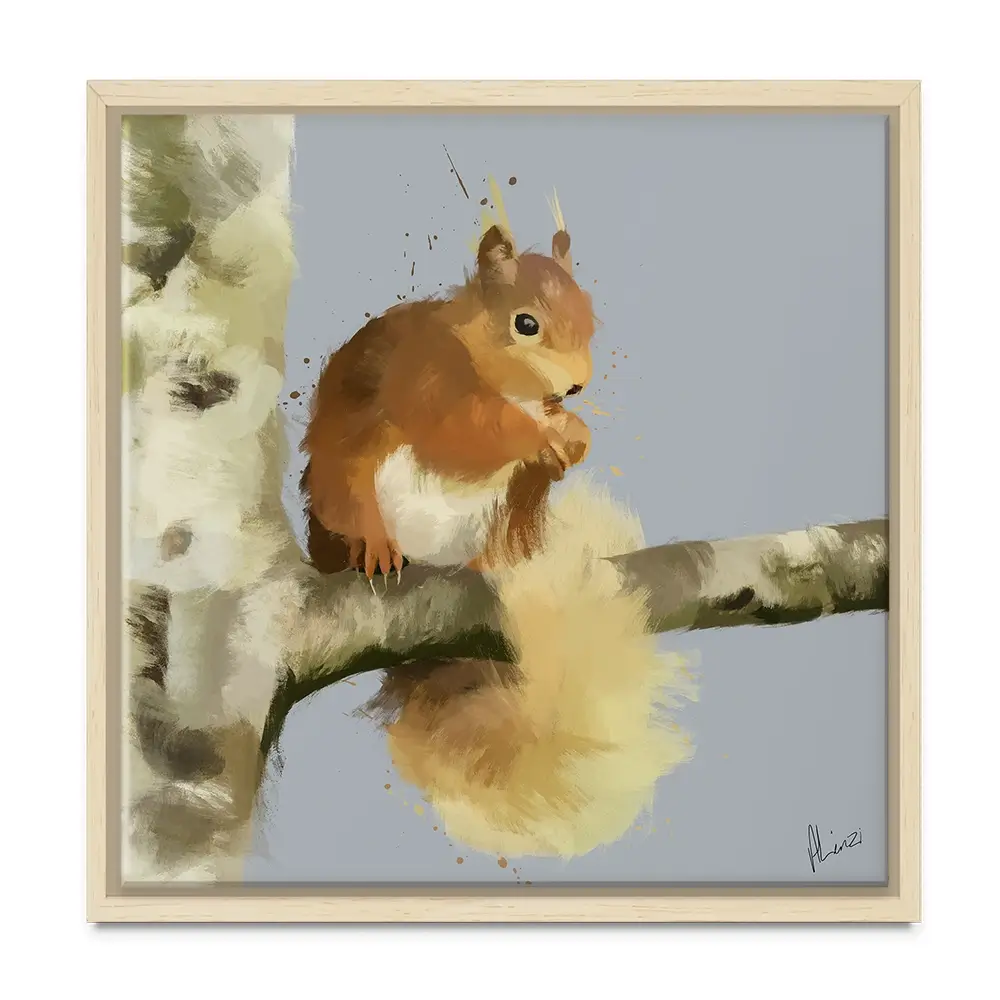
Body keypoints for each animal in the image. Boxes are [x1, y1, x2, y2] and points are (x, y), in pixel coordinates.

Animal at [301, 221, 595, 583]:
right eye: (526, 324)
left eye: (589, 314)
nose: (578, 385)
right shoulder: (427, 383)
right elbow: (462, 433)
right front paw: (540, 438)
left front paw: (577, 436)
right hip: (344, 487)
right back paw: (375, 550)